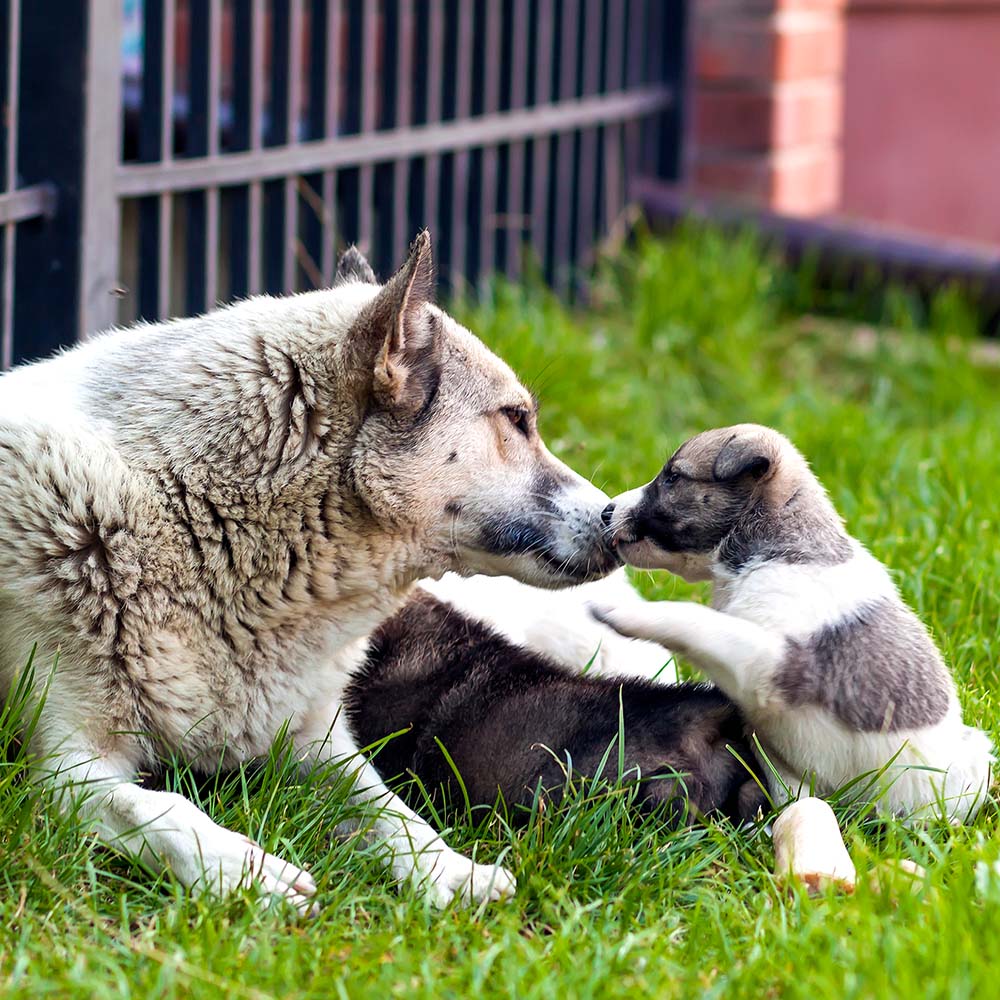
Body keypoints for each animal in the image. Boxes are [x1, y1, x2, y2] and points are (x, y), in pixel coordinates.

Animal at [592, 424, 992, 820]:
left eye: (673, 477)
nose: (607, 511)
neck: (766, 551)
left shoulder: (768, 659)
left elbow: (694, 619)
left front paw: (619, 612)